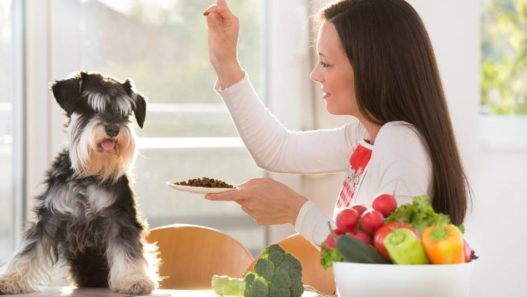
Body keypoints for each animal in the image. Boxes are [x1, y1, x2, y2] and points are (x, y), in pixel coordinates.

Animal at [0, 71, 161, 294]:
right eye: (91, 108)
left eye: (124, 113)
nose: (113, 129)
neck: (89, 174)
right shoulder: (51, 217)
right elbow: (29, 249)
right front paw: (10, 280)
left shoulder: (119, 216)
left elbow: (128, 249)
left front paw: (134, 280)